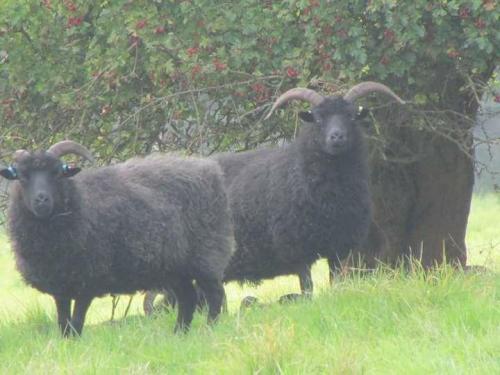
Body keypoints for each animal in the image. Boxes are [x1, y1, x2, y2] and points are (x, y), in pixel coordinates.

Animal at [0, 142, 232, 338]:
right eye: (22, 176)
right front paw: (66, 344)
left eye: (56, 173)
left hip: (207, 254)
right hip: (175, 267)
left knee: (215, 294)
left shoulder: (88, 281)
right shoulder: (60, 286)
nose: (41, 199)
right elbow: (64, 324)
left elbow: (77, 322)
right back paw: (179, 334)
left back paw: (210, 329)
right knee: (188, 298)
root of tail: (210, 170)